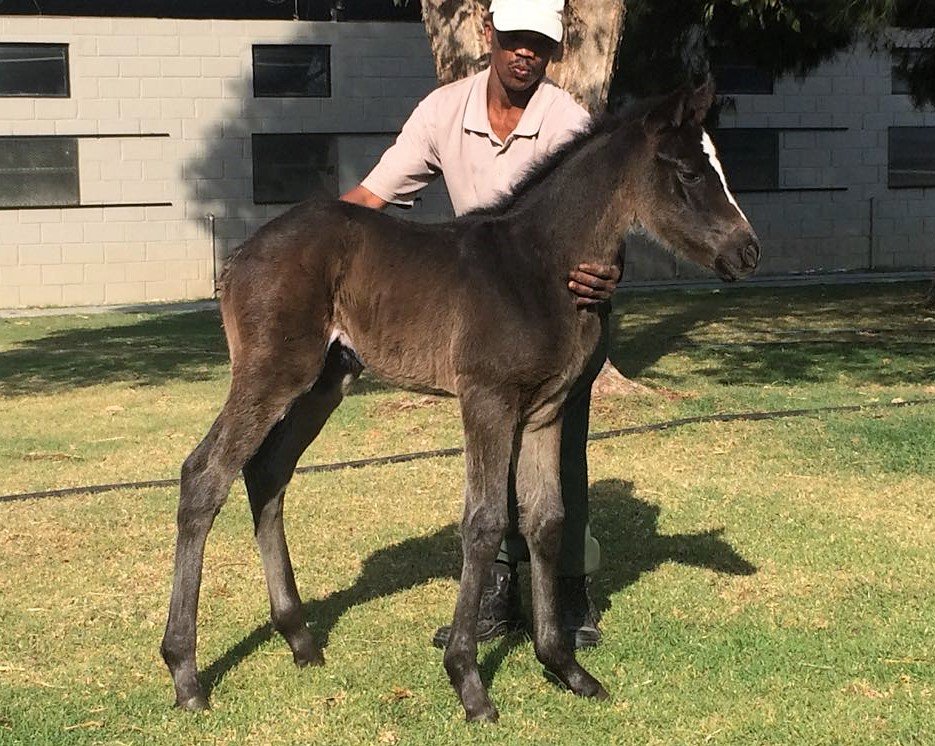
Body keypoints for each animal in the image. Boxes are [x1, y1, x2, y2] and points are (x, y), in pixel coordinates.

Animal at [160, 79, 760, 722]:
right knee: (205, 474)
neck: (539, 265)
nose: (749, 252)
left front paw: (564, 666)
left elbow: (546, 519)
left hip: (326, 381)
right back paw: (186, 673)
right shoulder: (486, 399)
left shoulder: (545, 411)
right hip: (272, 371)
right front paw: (469, 683)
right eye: (690, 172)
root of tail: (240, 256)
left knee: (268, 473)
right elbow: (484, 520)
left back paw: (299, 638)